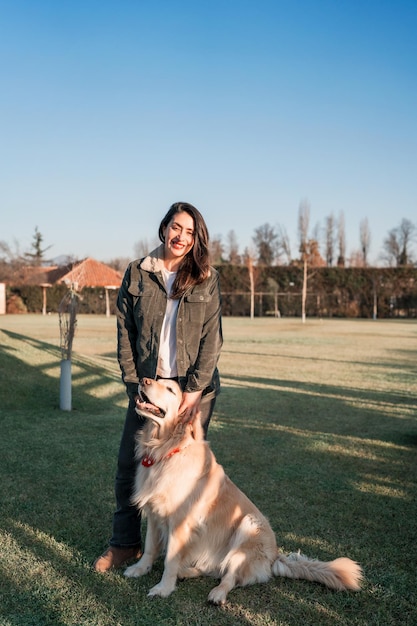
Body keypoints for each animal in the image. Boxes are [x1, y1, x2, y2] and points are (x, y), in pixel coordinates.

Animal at [124, 372, 360, 604]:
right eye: (156, 379)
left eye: (171, 390)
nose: (143, 380)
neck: (167, 448)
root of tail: (275, 556)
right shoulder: (155, 514)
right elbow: (149, 548)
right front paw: (139, 569)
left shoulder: (180, 522)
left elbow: (170, 560)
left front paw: (163, 588)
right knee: (214, 570)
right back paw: (187, 572)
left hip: (248, 527)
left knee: (230, 577)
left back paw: (217, 594)